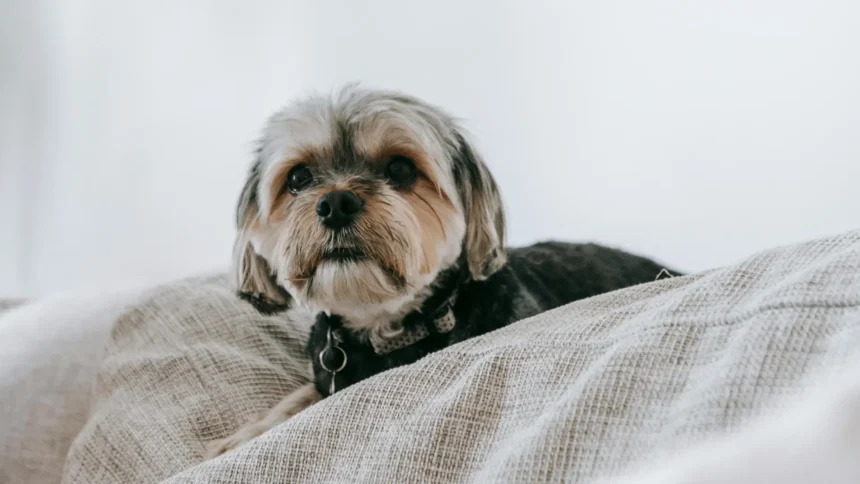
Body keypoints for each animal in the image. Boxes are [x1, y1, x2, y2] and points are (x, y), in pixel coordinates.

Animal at [203, 87, 672, 458]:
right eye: (298, 178)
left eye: (400, 169)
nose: (335, 203)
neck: (387, 327)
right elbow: (298, 398)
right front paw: (248, 433)